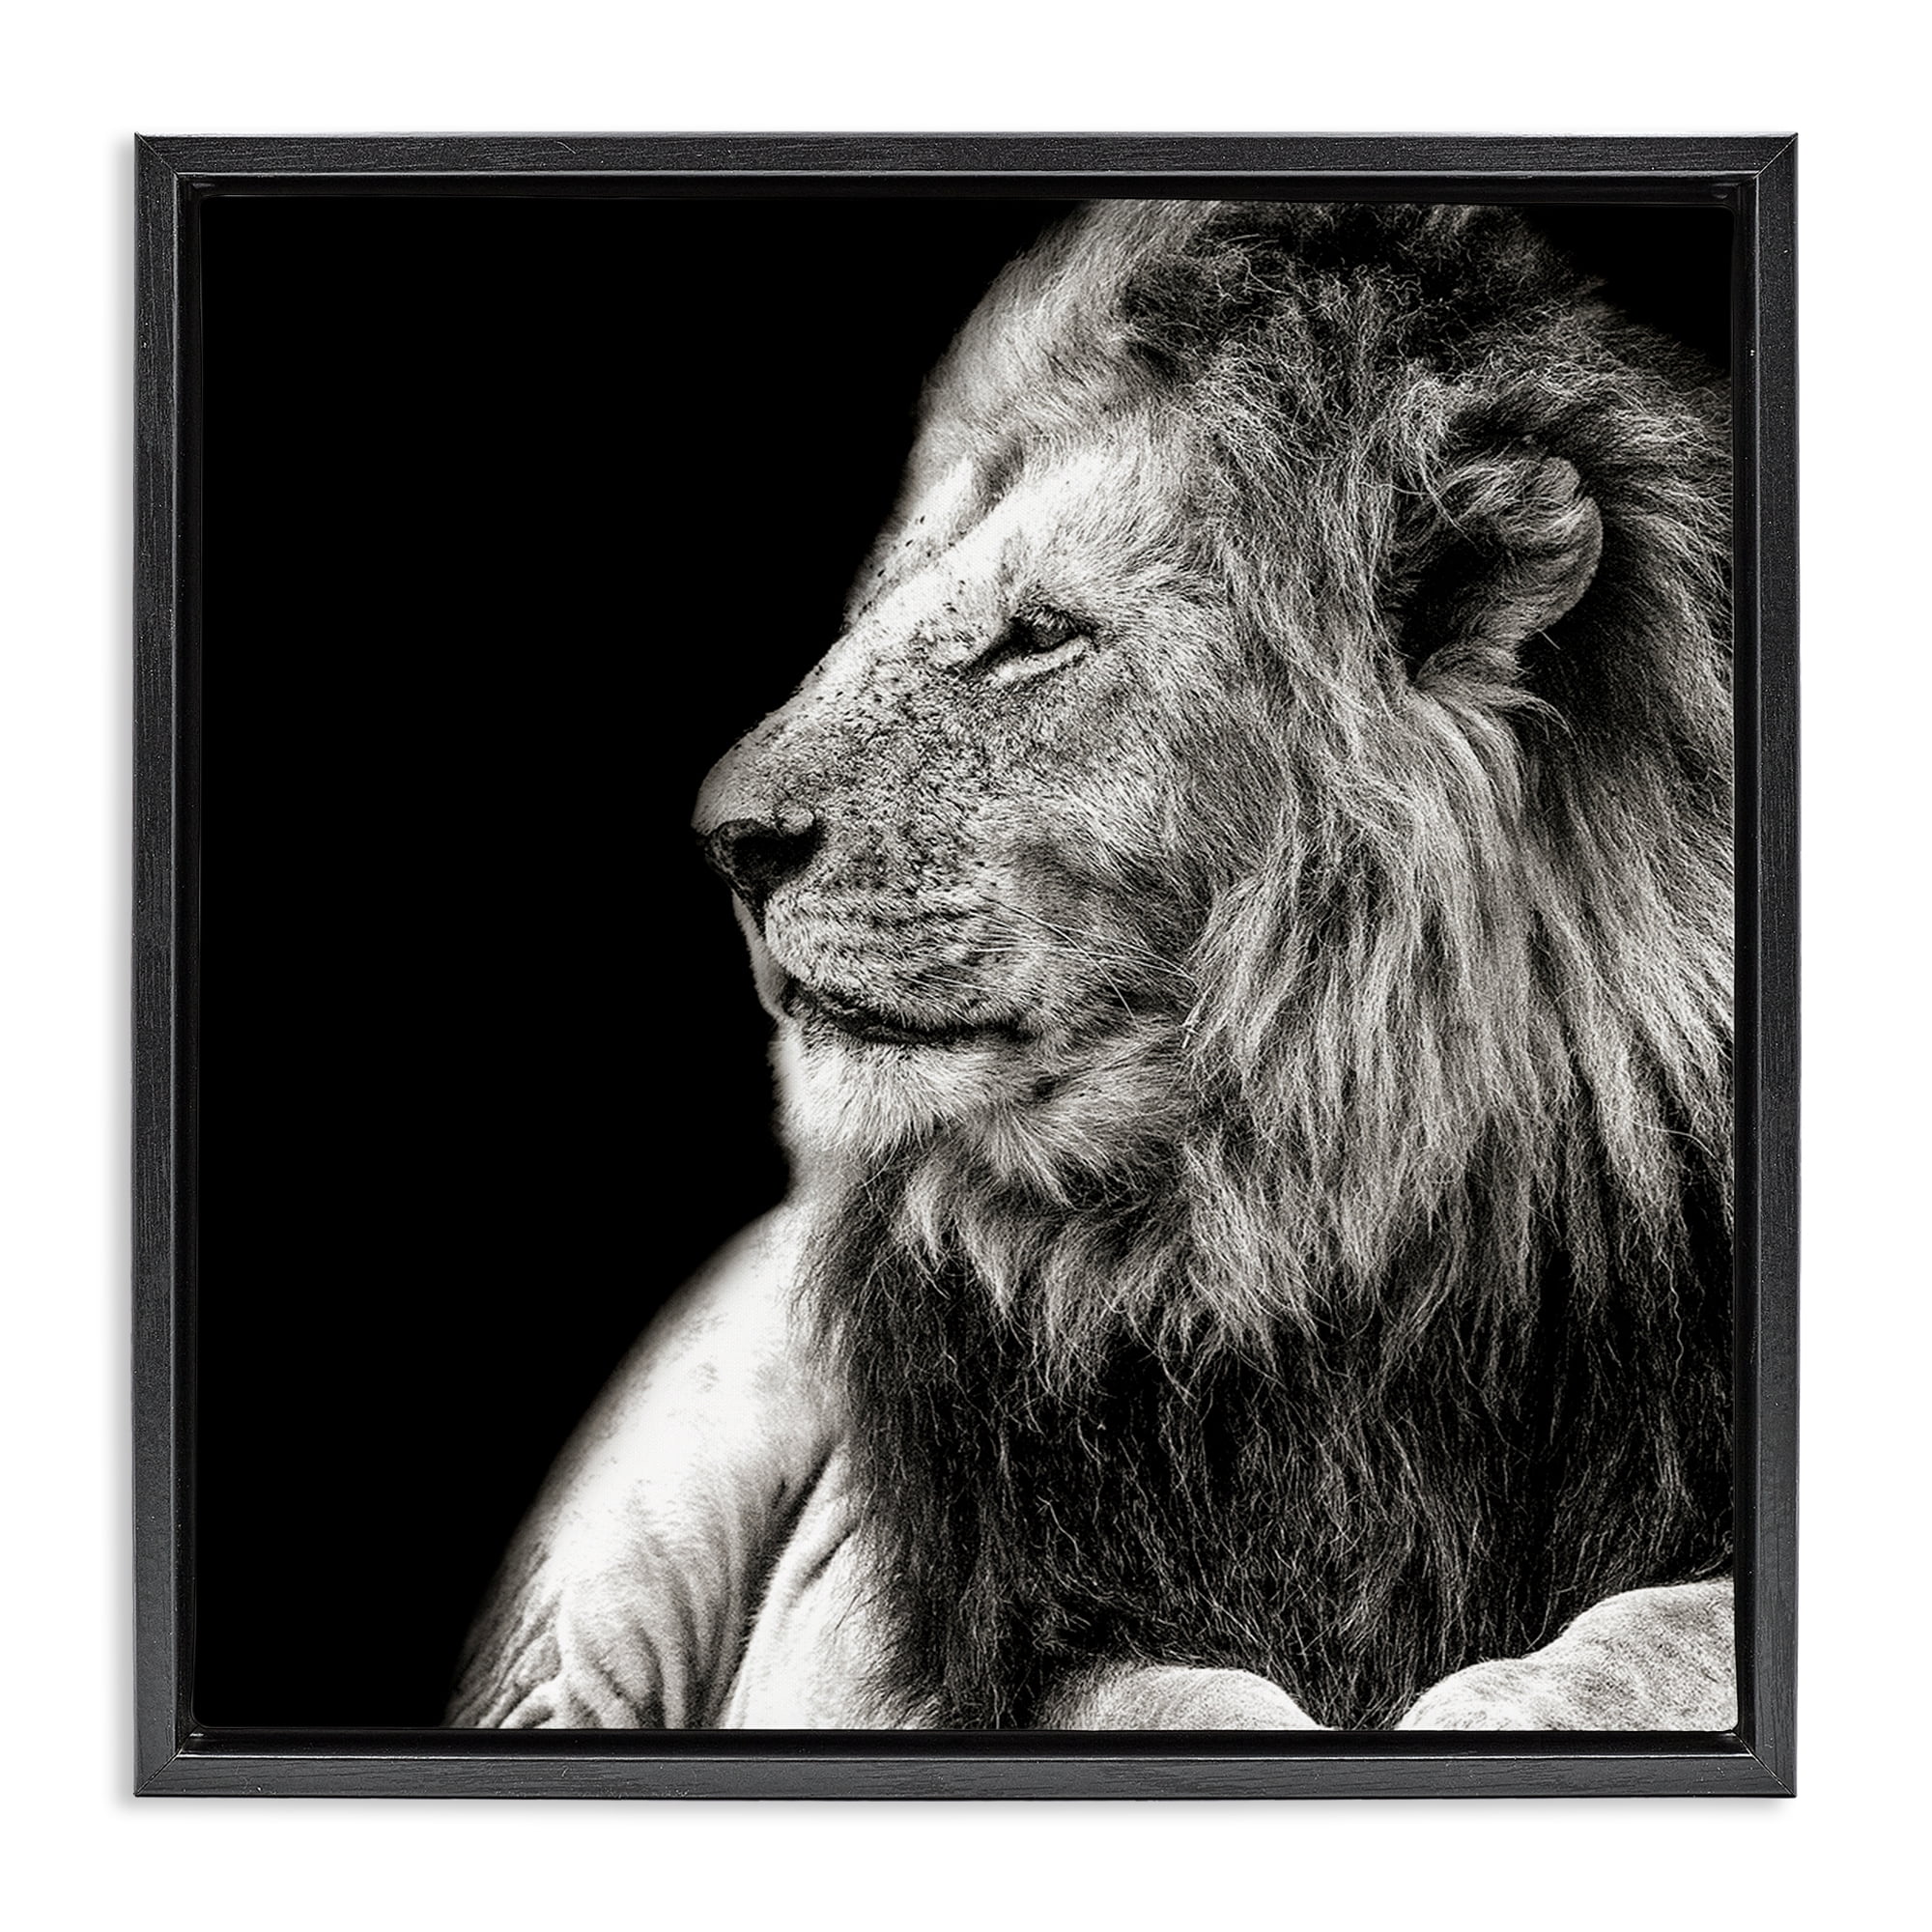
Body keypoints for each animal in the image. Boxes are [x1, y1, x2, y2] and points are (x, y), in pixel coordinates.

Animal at [448, 201, 1735, 1732]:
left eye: (1038, 636)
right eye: (876, 611)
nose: (726, 842)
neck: (1304, 1229)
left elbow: (1656, 1629)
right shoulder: (974, 1628)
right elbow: (1182, 1700)